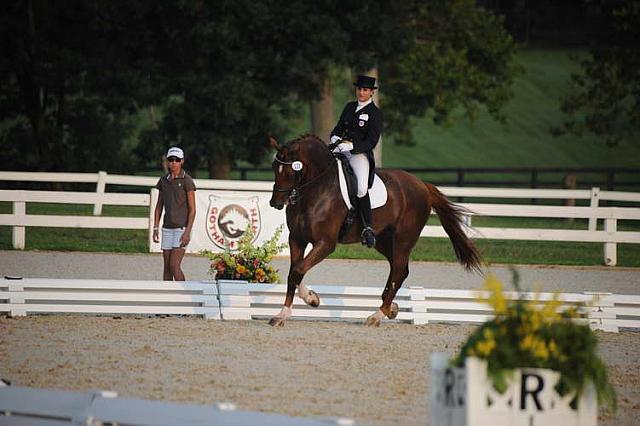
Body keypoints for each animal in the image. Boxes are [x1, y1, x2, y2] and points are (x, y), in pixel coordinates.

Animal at [266, 134, 480, 326]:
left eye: (290, 172)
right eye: (274, 169)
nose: (276, 203)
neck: (317, 190)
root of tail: (422, 185)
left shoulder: (326, 243)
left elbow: (298, 270)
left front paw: (305, 302)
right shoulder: (297, 239)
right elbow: (294, 272)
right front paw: (290, 309)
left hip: (403, 239)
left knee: (399, 271)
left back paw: (378, 315)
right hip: (384, 240)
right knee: (398, 269)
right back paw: (390, 308)